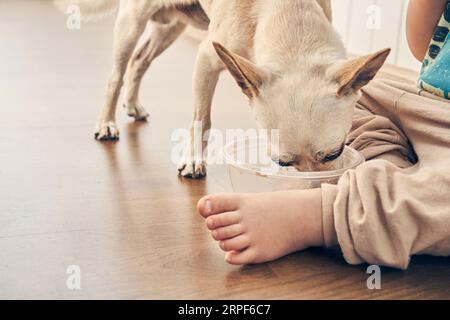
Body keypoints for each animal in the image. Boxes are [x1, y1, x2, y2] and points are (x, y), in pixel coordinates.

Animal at [54, 0, 388, 178]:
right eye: (281, 162)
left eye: (335, 154)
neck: (291, 17)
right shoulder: (206, 59)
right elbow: (201, 119)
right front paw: (193, 159)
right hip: (132, 22)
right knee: (117, 74)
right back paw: (106, 122)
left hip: (171, 27)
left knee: (140, 61)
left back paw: (133, 105)